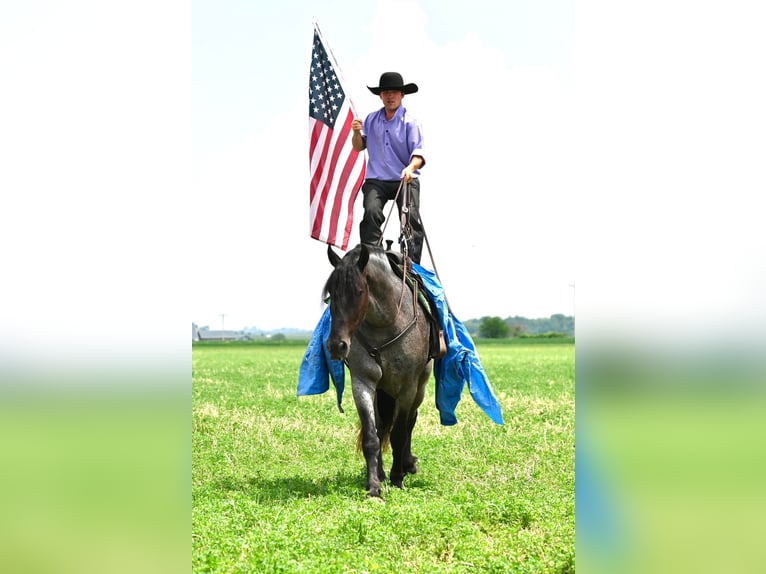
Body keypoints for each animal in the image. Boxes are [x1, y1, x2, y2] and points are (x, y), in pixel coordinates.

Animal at [322, 243, 432, 500]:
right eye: (330, 293)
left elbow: (400, 433)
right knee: (382, 427)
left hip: (420, 387)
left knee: (410, 421)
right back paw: (382, 473)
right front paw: (374, 485)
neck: (385, 324)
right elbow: (372, 436)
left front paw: (397, 478)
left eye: (359, 291)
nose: (336, 345)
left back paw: (407, 464)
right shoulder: (363, 382)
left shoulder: (407, 387)